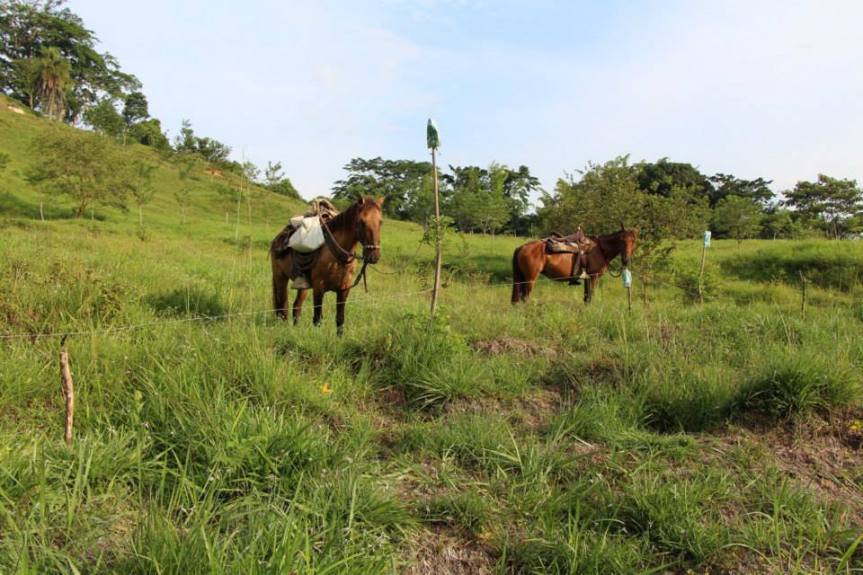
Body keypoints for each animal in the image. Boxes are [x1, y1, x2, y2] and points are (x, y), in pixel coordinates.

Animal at [270, 196, 383, 334]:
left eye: (381, 222)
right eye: (362, 222)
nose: (374, 256)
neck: (337, 256)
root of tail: (278, 238)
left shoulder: (344, 289)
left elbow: (340, 319)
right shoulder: (319, 288)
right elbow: (317, 319)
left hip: (302, 286)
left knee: (296, 306)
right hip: (280, 277)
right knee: (282, 307)